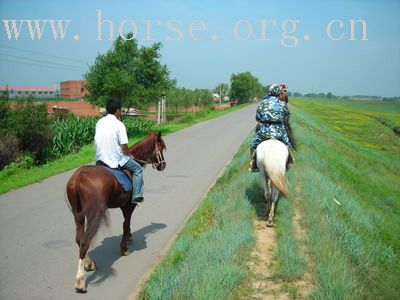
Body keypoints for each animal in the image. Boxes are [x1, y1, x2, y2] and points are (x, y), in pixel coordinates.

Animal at [66, 130, 166, 292]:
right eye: (161, 148)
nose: (163, 165)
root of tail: (78, 179)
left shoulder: (123, 205)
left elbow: (127, 224)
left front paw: (129, 238)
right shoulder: (129, 205)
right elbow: (126, 223)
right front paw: (124, 248)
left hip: (78, 214)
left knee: (79, 238)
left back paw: (89, 263)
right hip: (94, 214)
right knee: (85, 241)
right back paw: (80, 281)